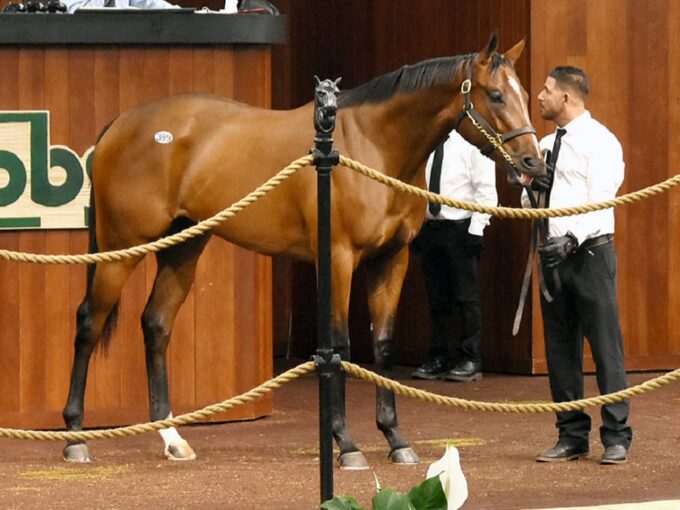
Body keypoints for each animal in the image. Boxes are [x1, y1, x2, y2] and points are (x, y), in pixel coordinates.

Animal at [61, 32, 544, 470]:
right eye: (496, 95)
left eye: (524, 95)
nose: (533, 164)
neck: (370, 145)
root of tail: (122, 123)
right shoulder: (339, 258)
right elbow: (340, 346)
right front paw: (346, 444)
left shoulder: (392, 260)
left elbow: (383, 345)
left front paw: (395, 439)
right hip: (121, 248)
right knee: (89, 322)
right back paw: (75, 437)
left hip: (184, 247)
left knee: (157, 324)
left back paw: (172, 438)